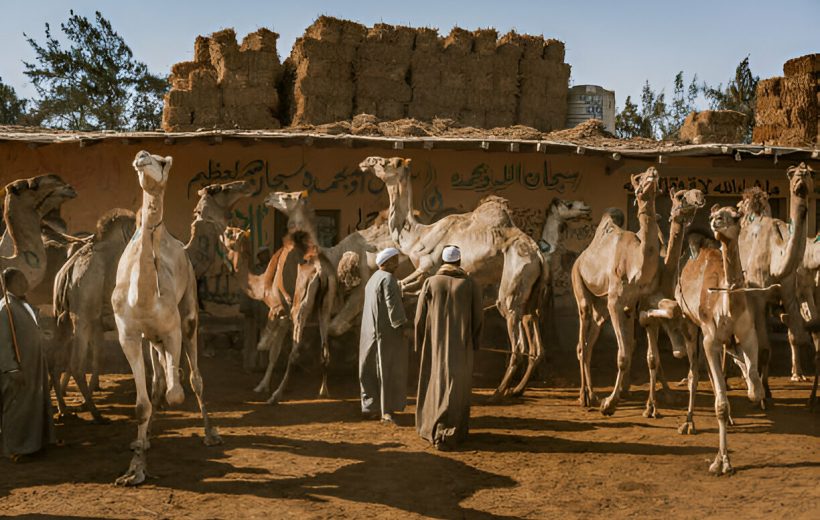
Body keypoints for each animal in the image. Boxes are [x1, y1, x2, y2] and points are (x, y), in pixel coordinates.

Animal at [111, 151, 221, 486]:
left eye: (163, 162)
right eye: (140, 156)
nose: (142, 157)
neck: (142, 296)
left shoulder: (171, 331)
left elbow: (176, 393)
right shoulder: (129, 335)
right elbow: (141, 405)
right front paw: (135, 469)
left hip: (189, 314)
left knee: (195, 378)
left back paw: (210, 433)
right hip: (151, 339)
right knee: (158, 380)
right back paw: (145, 439)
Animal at [359, 156, 548, 397]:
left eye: (386, 163)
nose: (366, 161)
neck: (418, 236)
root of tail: (538, 255)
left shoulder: (426, 268)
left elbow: (403, 284)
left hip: (513, 283)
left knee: (517, 339)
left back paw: (498, 392)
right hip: (531, 295)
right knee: (536, 339)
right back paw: (517, 389)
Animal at [572, 167, 661, 415]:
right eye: (638, 178)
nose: (653, 171)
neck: (637, 264)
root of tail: (579, 258)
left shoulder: (642, 304)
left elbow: (650, 356)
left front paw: (651, 407)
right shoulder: (615, 301)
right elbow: (622, 355)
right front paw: (609, 404)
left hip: (601, 308)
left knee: (590, 342)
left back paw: (592, 395)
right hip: (579, 284)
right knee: (581, 343)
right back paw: (585, 397)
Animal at [648, 205, 765, 474]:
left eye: (736, 216)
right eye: (715, 215)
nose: (716, 220)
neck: (729, 307)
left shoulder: (747, 336)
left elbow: (753, 383)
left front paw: (753, 387)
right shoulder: (710, 339)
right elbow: (720, 403)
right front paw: (722, 462)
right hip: (692, 327)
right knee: (694, 373)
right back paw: (688, 422)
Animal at [737, 164, 813, 402]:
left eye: (810, 173)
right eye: (792, 173)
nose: (800, 181)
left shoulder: (788, 294)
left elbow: (795, 337)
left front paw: (796, 375)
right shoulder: (758, 297)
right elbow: (763, 348)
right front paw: (764, 392)